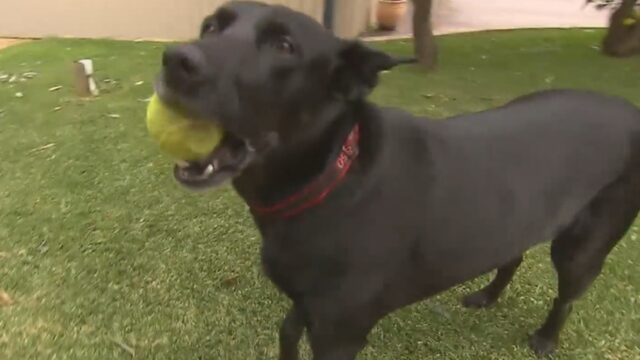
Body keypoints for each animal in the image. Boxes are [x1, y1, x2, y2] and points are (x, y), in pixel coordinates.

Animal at [155, 1, 640, 358]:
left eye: (284, 45)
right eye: (210, 26)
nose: (176, 61)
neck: (330, 180)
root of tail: (631, 112)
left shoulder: (340, 334)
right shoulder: (307, 308)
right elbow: (288, 331)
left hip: (583, 245)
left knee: (567, 296)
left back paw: (545, 338)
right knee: (512, 255)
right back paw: (487, 296)